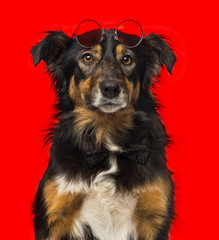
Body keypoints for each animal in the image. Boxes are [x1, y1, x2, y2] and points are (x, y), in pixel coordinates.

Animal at [31, 24, 176, 240]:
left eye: (127, 59)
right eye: (87, 57)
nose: (110, 88)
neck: (107, 143)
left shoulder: (152, 216)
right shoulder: (56, 216)